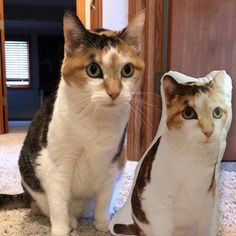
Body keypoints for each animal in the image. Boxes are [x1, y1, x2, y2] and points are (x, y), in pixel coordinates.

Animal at [18, 10, 145, 235]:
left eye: (127, 70)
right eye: (93, 70)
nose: (114, 92)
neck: (95, 120)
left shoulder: (112, 162)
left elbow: (103, 200)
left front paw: (102, 225)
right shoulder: (57, 165)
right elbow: (59, 203)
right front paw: (61, 229)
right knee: (47, 207)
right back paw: (71, 221)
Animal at [111, 71, 230, 235]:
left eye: (217, 112)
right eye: (188, 113)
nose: (208, 131)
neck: (192, 158)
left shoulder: (206, 203)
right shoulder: (161, 206)